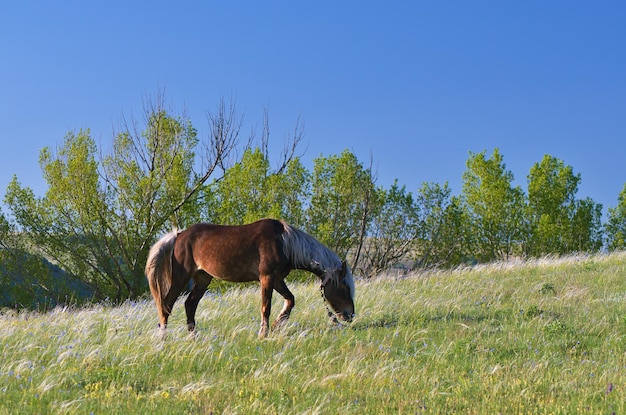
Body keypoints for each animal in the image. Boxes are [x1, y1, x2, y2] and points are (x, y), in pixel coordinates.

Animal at [143, 218, 354, 338]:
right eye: (344, 286)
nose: (350, 315)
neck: (284, 242)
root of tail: (179, 235)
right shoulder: (267, 278)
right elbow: (266, 307)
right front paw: (263, 333)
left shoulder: (278, 280)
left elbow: (290, 300)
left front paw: (277, 324)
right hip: (181, 277)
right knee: (166, 305)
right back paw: (163, 338)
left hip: (203, 278)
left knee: (190, 304)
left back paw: (193, 336)